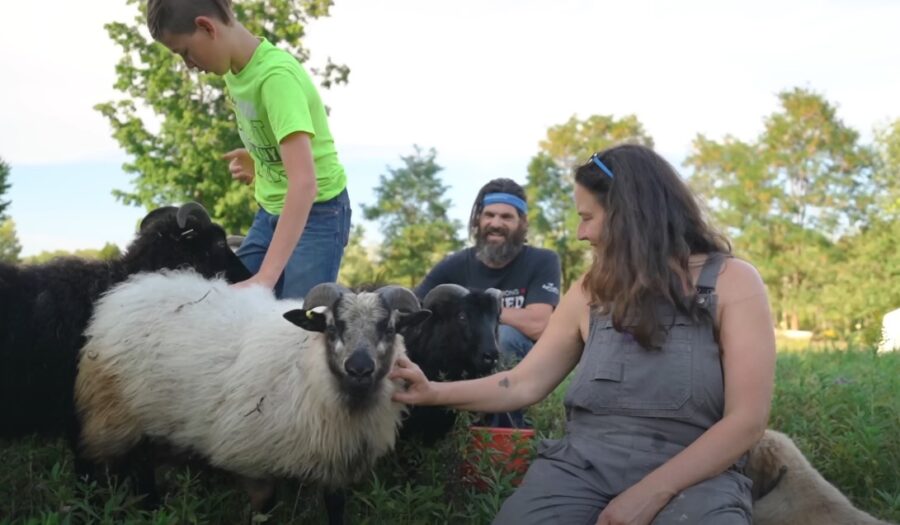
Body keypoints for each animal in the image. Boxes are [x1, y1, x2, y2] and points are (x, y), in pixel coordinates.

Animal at [74, 272, 432, 520]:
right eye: (332, 327)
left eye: (390, 329)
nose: (359, 368)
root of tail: (127, 292)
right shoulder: (254, 463)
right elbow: (265, 512)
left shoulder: (336, 466)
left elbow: (335, 510)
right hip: (112, 415)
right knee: (97, 466)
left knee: (144, 470)